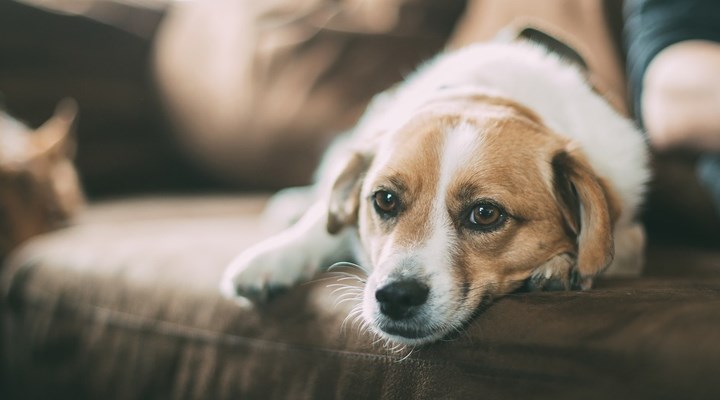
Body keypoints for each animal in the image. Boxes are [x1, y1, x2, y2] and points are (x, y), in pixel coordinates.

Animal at [217, 36, 648, 346]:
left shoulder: (629, 234)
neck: (487, 95)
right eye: (385, 199)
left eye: (485, 214)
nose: (395, 296)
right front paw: (273, 257)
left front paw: (562, 265)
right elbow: (320, 224)